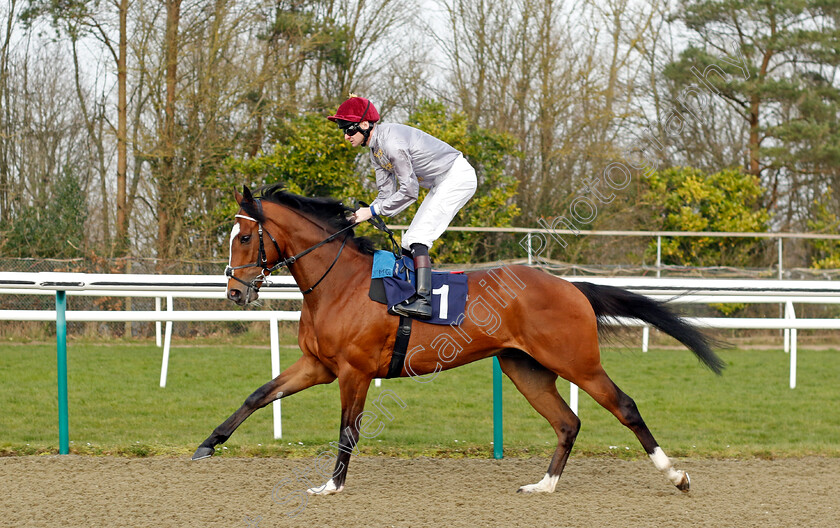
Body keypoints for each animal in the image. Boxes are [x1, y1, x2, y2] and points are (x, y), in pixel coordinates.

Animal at [190, 185, 720, 496]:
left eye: (244, 237)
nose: (234, 292)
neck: (339, 282)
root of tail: (571, 286)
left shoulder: (353, 372)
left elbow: (348, 429)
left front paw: (332, 486)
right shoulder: (319, 366)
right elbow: (258, 395)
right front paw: (207, 445)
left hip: (577, 362)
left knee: (624, 406)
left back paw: (676, 475)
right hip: (523, 367)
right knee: (567, 422)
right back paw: (544, 485)